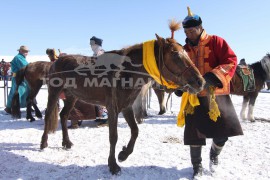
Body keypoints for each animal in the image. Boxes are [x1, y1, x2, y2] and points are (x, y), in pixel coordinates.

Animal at [39, 26, 205, 174]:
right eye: (175, 55)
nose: (200, 82)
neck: (126, 72)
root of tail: (56, 61)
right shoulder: (113, 108)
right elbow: (114, 137)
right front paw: (113, 165)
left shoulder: (126, 107)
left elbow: (135, 131)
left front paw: (123, 154)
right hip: (54, 92)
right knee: (48, 115)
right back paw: (43, 142)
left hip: (72, 96)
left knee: (63, 115)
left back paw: (66, 143)